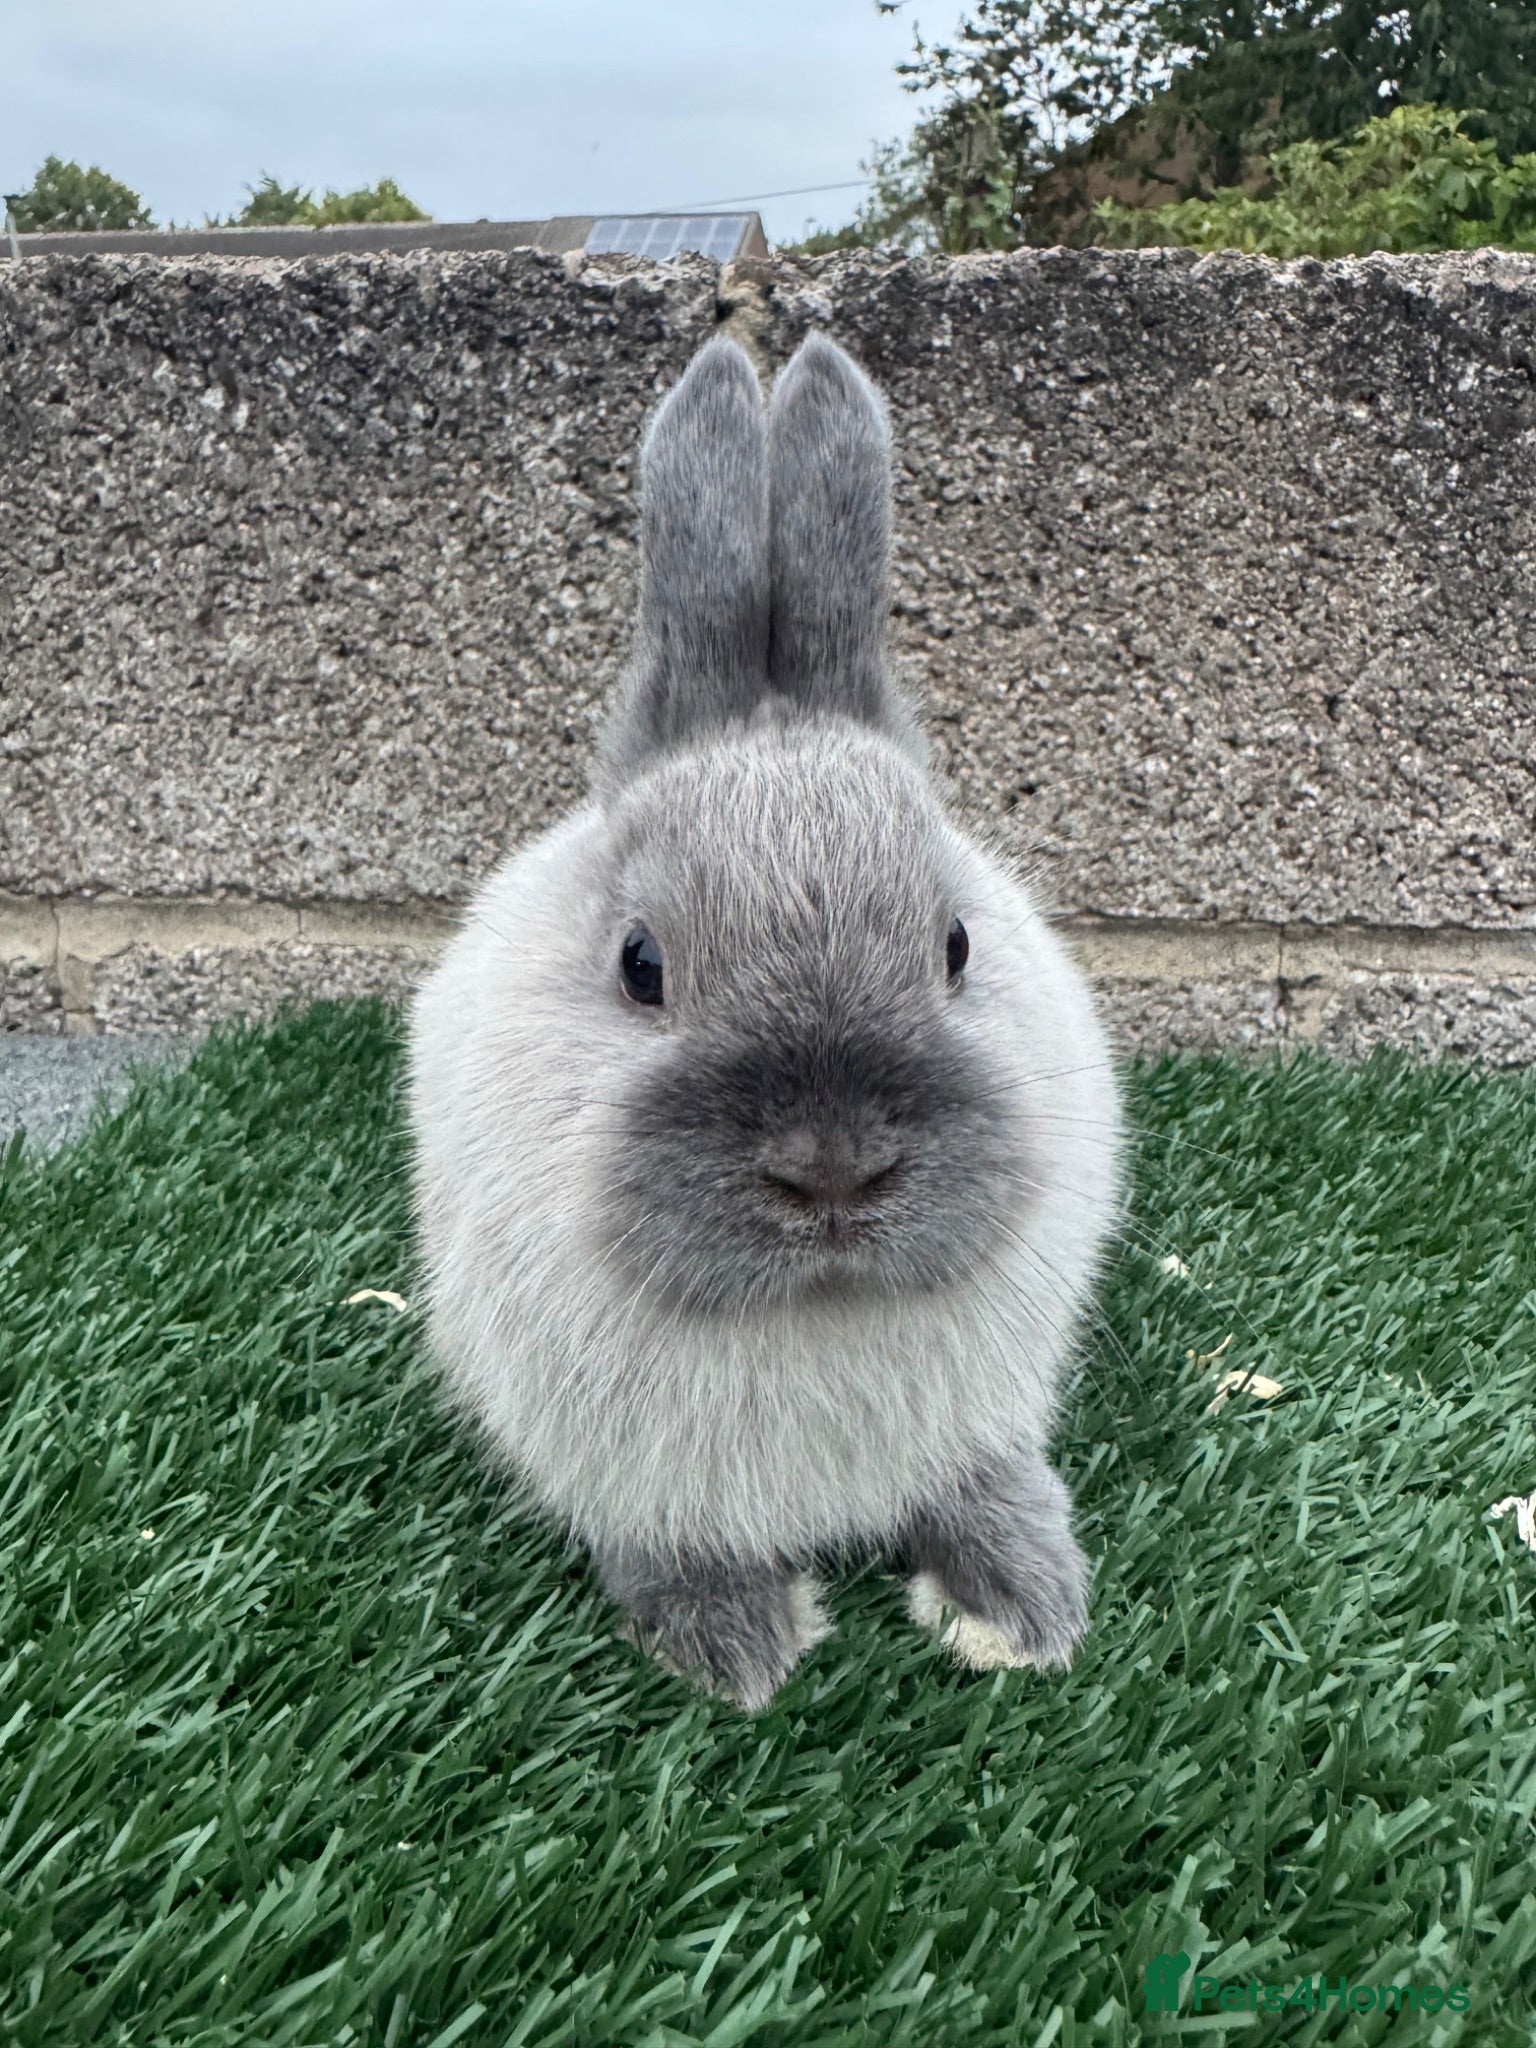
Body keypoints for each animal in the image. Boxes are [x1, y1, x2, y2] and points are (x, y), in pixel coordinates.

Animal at [406, 329, 1125, 1712]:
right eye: (640, 964)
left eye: (959, 946)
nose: (833, 1167)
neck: (816, 1310)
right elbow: (674, 1539)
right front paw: (739, 1648)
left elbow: (984, 1488)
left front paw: (1027, 1607)